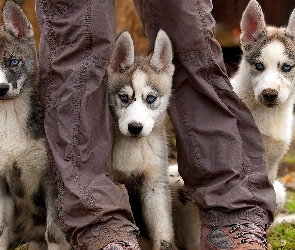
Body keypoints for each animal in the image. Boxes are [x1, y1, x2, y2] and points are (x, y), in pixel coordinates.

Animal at [0, 0, 70, 249]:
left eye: (13, 62)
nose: (1, 89)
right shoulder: (1, 181)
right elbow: (1, 231)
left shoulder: (51, 180)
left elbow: (53, 233)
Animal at [108, 30, 177, 249]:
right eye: (124, 97)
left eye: (150, 98)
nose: (135, 127)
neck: (134, 148)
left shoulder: (154, 183)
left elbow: (162, 229)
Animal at [231, 0, 295, 219]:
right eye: (259, 66)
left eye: (286, 67)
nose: (269, 94)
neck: (268, 116)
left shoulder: (272, 165)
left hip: (281, 191)